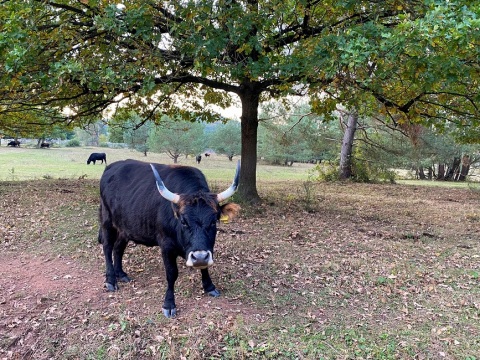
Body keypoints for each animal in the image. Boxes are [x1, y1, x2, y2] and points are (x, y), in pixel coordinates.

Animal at [97, 160, 240, 318]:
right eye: (183, 221)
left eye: (214, 221)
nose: (199, 257)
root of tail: (112, 167)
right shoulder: (166, 246)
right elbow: (172, 274)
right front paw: (169, 304)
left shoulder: (207, 248)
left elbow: (205, 266)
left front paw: (209, 286)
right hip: (107, 221)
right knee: (107, 247)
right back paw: (110, 279)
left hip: (125, 227)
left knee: (118, 248)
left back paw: (121, 274)